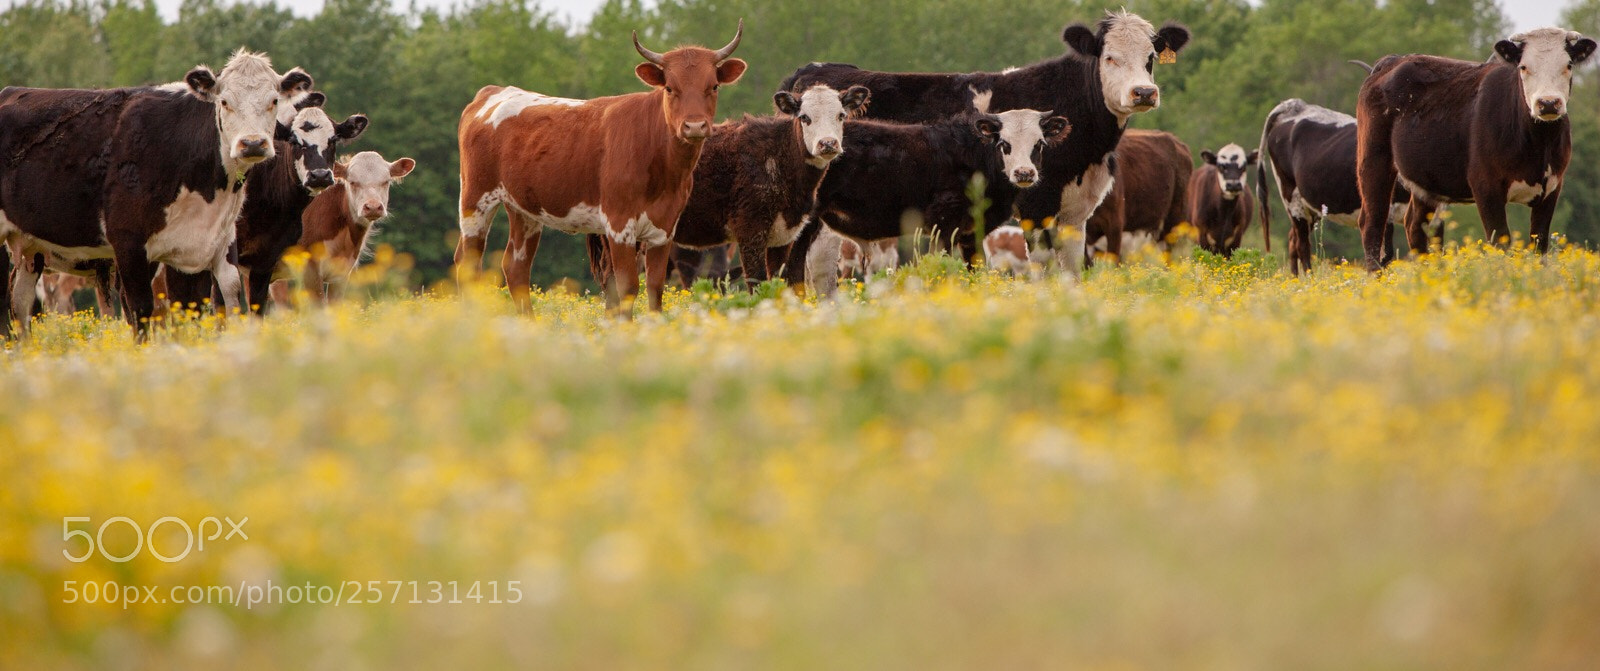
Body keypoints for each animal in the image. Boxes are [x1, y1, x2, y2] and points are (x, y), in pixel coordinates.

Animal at [0, 49, 314, 337]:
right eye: (224, 102)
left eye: (274, 101)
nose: (252, 144)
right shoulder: (129, 243)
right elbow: (141, 310)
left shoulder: (219, 239)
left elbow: (227, 297)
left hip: (30, 246)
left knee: (20, 302)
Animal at [456, 23, 747, 316]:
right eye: (669, 88)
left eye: (714, 86)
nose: (694, 126)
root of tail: (493, 91)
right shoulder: (619, 225)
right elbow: (627, 287)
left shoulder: (664, 229)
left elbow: (655, 288)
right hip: (475, 199)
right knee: (467, 262)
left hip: (523, 209)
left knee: (516, 266)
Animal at [782, 109, 1071, 294]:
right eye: (1004, 143)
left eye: (1039, 143)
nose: (1024, 173)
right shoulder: (943, 225)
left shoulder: (971, 234)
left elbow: (975, 271)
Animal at [1356, 28, 1596, 270]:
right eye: (1523, 67)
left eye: (1568, 65)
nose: (1547, 103)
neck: (1538, 144)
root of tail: (1393, 61)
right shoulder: (1485, 185)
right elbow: (1500, 241)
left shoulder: (1552, 187)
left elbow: (1539, 243)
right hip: (1373, 159)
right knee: (1373, 221)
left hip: (1424, 179)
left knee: (1415, 224)